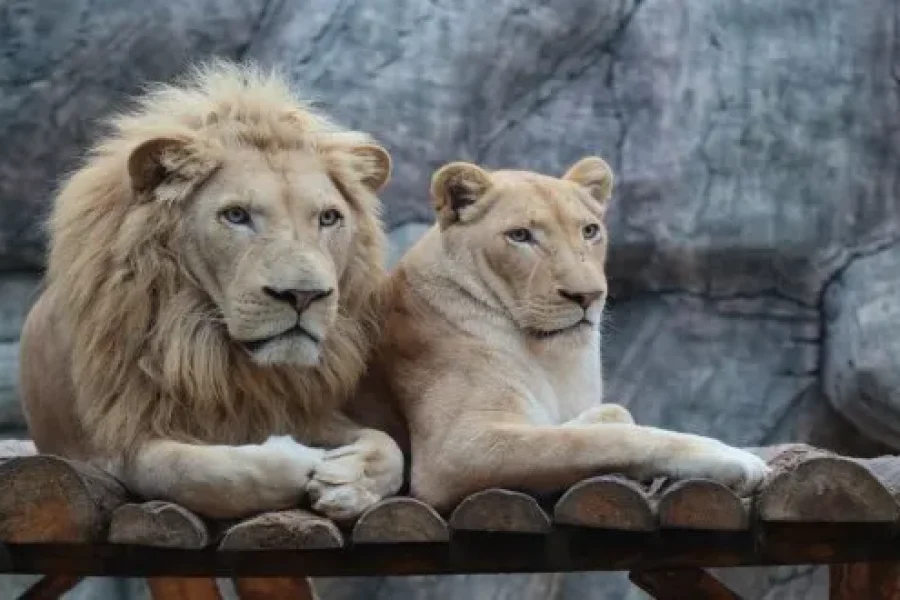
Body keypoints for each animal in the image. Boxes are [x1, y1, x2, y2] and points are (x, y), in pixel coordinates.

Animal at [18, 61, 404, 520]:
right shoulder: (115, 441)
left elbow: (392, 448)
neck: (213, 351)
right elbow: (202, 472)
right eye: (236, 215)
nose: (303, 296)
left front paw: (351, 482)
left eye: (329, 218)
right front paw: (300, 457)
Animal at [371, 157, 770, 511]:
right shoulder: (454, 448)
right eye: (520, 236)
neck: (549, 356)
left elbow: (607, 416)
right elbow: (603, 440)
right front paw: (731, 457)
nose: (588, 296)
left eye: (589, 231)